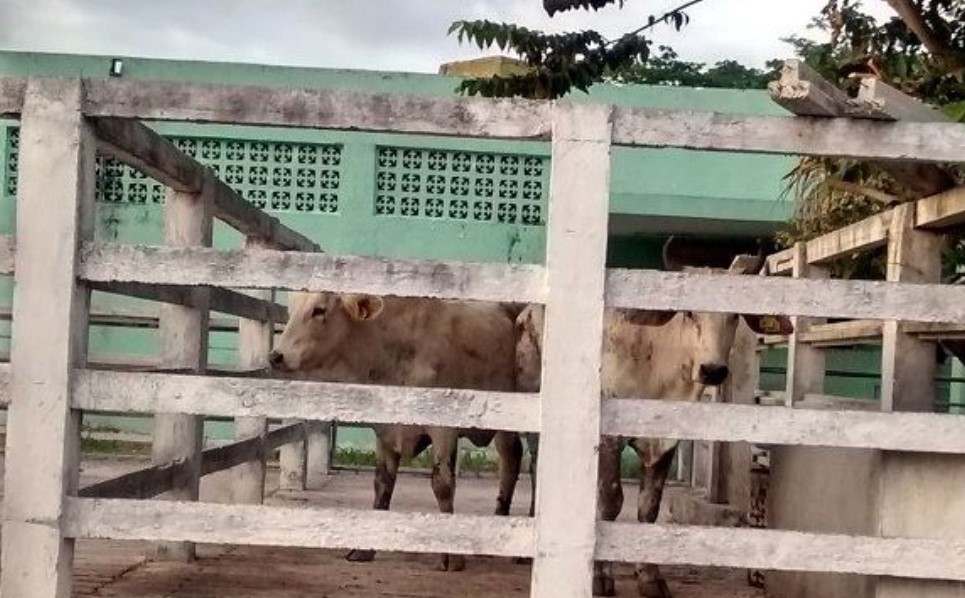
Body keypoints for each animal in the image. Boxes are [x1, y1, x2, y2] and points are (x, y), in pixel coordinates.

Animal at [272, 292, 524, 576]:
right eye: (292, 309)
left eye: (319, 309)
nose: (276, 356)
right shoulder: (386, 429)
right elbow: (383, 483)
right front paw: (365, 549)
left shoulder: (443, 429)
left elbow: (443, 485)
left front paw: (451, 555)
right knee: (511, 460)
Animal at [512, 240, 792, 598]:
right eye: (689, 312)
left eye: (733, 316)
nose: (713, 370)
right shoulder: (609, 439)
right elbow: (610, 502)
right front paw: (600, 578)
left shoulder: (665, 441)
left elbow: (648, 506)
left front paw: (650, 578)